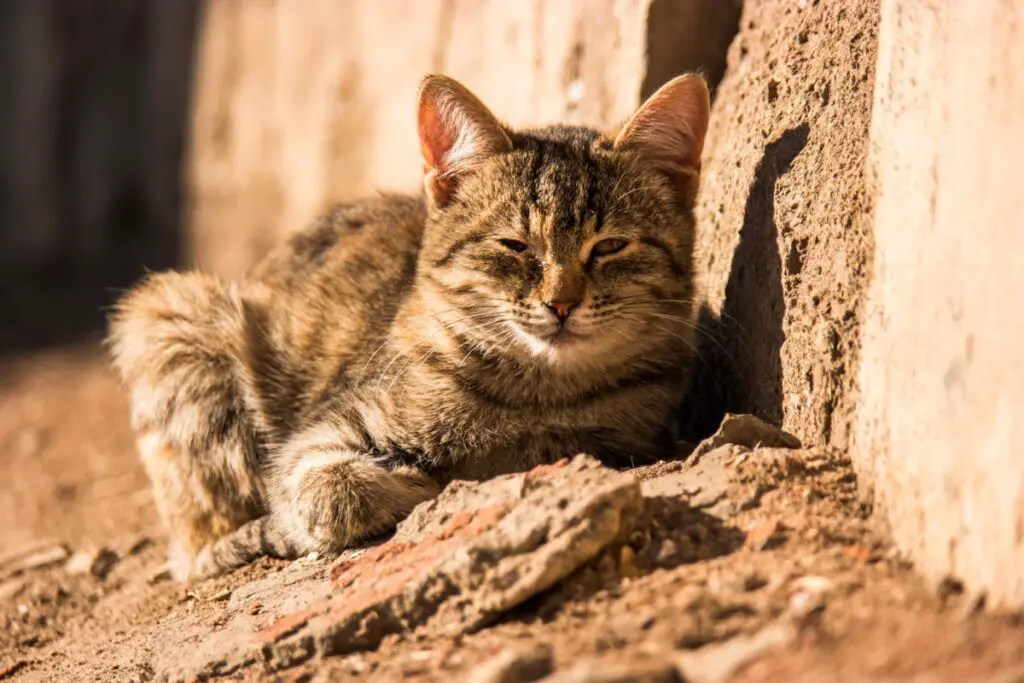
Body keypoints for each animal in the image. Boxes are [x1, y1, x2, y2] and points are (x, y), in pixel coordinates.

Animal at [105, 72, 712, 581]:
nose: (561, 303)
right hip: (170, 315)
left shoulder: (627, 436)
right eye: (515, 246)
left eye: (609, 246)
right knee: (198, 549)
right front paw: (407, 484)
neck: (537, 397)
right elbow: (328, 489)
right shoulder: (316, 437)